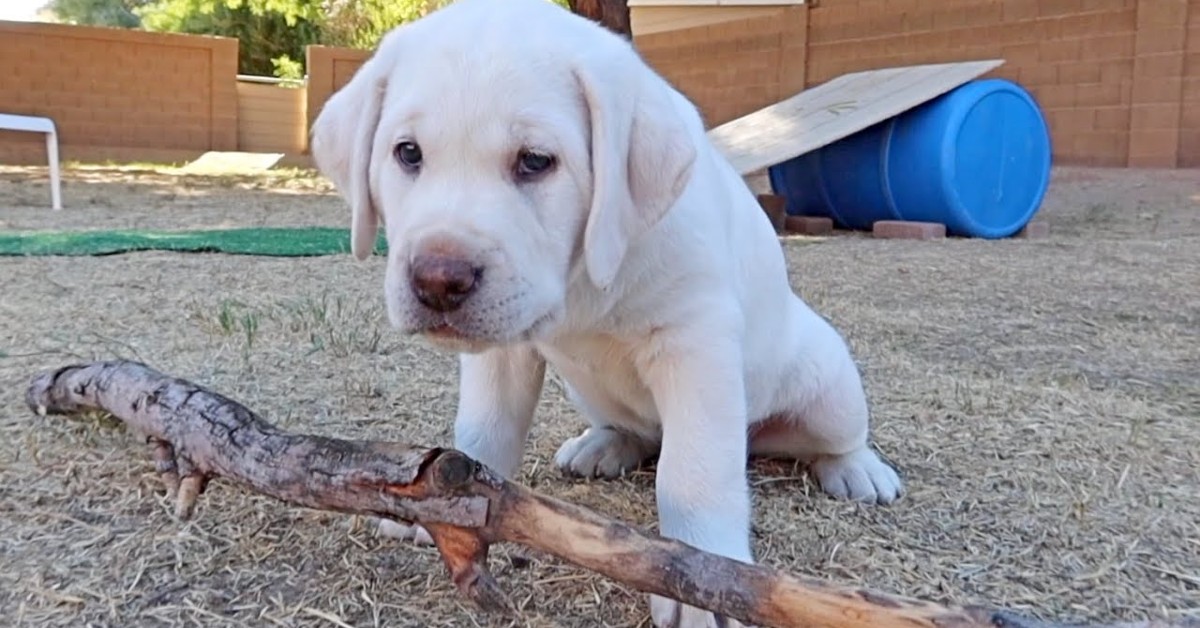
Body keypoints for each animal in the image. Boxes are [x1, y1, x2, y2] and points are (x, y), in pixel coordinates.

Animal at [309, 1, 902, 624]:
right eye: (408, 153)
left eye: (536, 161)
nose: (438, 282)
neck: (581, 281)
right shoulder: (503, 351)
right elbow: (484, 426)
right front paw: (446, 506)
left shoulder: (695, 345)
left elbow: (694, 473)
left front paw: (702, 582)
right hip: (588, 390)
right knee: (638, 433)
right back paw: (605, 444)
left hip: (827, 383)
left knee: (836, 435)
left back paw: (857, 469)